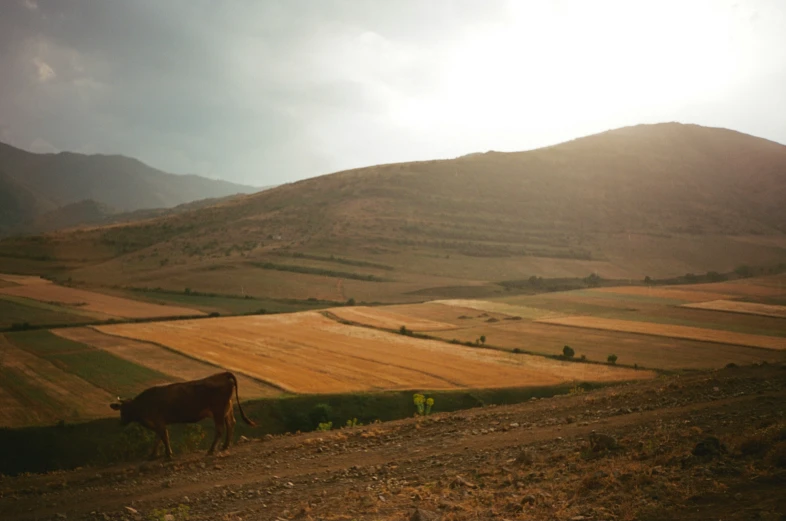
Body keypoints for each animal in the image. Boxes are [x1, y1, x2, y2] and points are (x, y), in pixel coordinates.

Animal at [109, 372, 254, 458]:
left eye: (125, 409)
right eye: (121, 409)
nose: (121, 422)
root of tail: (222, 374)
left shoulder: (159, 421)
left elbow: (164, 437)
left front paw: (168, 455)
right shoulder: (158, 423)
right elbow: (158, 438)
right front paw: (153, 455)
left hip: (218, 411)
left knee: (220, 429)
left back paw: (211, 450)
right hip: (227, 408)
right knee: (231, 423)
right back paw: (225, 446)